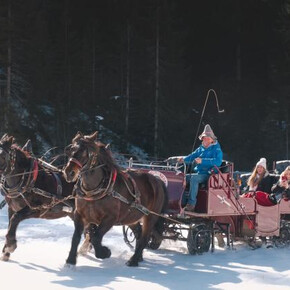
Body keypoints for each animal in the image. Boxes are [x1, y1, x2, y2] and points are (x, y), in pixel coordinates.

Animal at [63, 133, 168, 266]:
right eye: (69, 149)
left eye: (85, 152)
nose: (69, 172)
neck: (94, 192)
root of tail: (157, 180)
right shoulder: (79, 215)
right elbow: (76, 237)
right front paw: (71, 260)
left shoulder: (110, 218)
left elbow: (96, 237)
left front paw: (104, 252)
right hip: (131, 217)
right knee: (139, 235)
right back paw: (138, 257)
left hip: (150, 217)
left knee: (144, 238)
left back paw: (133, 260)